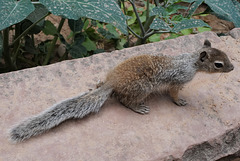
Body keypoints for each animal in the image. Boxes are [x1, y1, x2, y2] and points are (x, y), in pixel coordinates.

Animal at [9, 40, 234, 142]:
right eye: (219, 64)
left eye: (227, 55)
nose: (233, 68)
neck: (191, 61)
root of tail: (113, 82)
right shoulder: (178, 81)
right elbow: (174, 93)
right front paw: (179, 102)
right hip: (143, 89)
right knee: (124, 101)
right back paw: (137, 107)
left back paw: (97, 83)